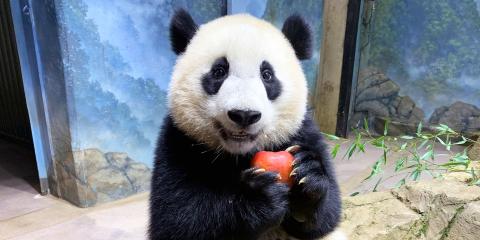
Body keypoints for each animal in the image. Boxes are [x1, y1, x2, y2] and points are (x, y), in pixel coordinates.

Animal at [150, 8, 344, 240]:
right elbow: (177, 220)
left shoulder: (303, 132)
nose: (244, 115)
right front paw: (258, 199)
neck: (238, 155)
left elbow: (327, 215)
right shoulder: (178, 142)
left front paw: (307, 174)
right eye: (219, 71)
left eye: (267, 75)